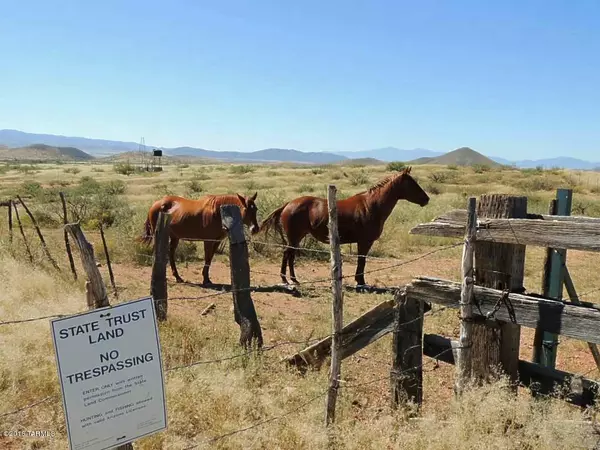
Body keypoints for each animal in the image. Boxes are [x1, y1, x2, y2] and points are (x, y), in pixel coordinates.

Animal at [260, 167, 428, 286]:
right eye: (412, 184)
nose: (426, 199)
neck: (371, 206)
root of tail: (288, 204)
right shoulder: (364, 242)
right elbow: (362, 261)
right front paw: (360, 282)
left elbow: (362, 261)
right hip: (294, 237)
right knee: (287, 254)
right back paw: (285, 279)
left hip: (296, 237)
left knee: (290, 255)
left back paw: (293, 279)